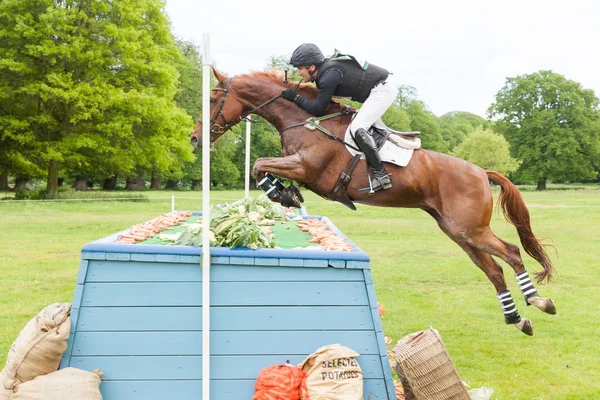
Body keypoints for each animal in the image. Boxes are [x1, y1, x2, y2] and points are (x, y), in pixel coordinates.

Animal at [192, 68, 556, 334]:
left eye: (212, 98)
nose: (195, 139)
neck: (304, 120)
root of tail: (481, 171)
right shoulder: (299, 168)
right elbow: (261, 168)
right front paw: (285, 194)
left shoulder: (307, 168)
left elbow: (258, 165)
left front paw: (284, 194)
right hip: (457, 231)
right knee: (494, 270)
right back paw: (517, 319)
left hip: (470, 229)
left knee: (511, 253)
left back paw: (540, 302)